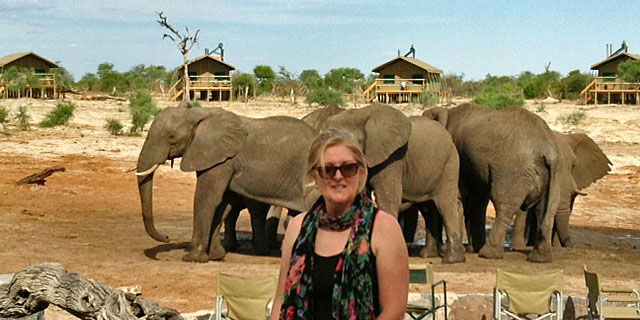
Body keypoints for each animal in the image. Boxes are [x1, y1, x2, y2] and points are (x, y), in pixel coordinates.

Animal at [134, 102, 318, 262]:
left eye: (171, 137)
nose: (166, 237)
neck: (199, 114)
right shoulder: (221, 160)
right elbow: (224, 203)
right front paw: (216, 256)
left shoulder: (221, 160)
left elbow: (206, 198)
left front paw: (192, 258)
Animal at [320, 105, 464, 262]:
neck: (360, 114)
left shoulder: (393, 159)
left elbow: (387, 200)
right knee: (428, 207)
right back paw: (428, 254)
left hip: (449, 162)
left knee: (445, 205)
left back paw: (451, 259)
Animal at [422, 103, 568, 262]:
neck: (446, 112)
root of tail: (548, 149)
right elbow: (477, 202)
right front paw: (471, 248)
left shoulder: (457, 156)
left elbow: (458, 198)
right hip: (555, 174)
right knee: (545, 210)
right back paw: (540, 258)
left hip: (513, 170)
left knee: (505, 206)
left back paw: (488, 253)